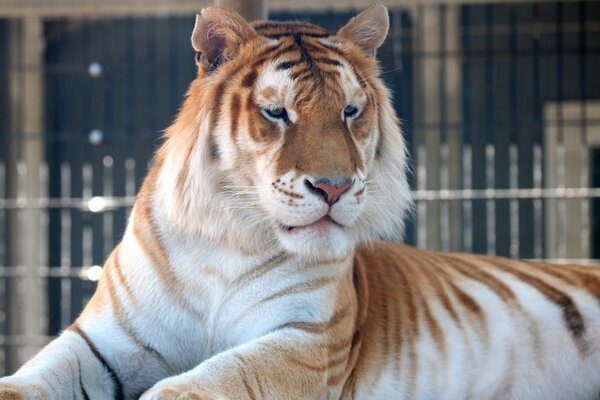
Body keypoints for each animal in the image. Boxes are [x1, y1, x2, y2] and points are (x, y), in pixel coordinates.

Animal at [1, 3, 600, 400]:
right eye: (277, 113)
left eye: (351, 112)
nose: (334, 188)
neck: (229, 241)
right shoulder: (104, 339)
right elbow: (34, 377)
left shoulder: (305, 340)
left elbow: (206, 381)